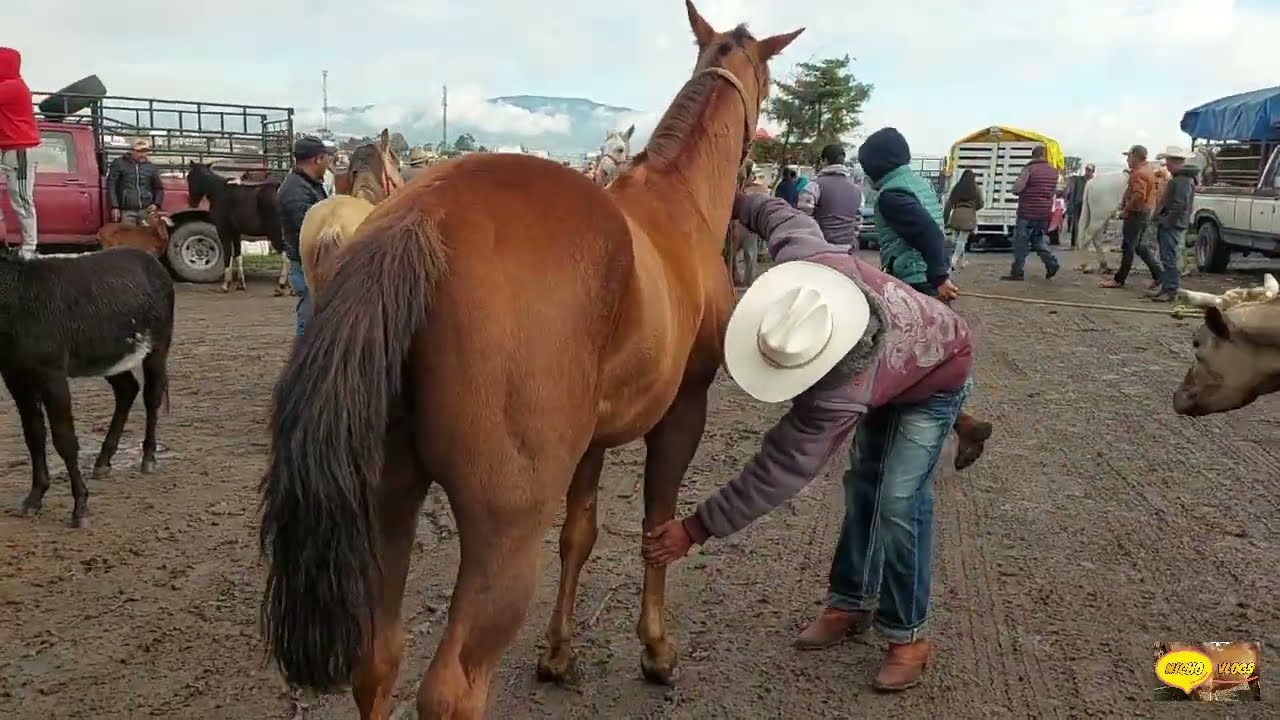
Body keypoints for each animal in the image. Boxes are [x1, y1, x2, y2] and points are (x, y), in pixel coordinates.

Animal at [0, 247, 173, 528]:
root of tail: (150, 259)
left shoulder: (52, 376)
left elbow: (65, 440)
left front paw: (80, 508)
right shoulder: (14, 376)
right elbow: (34, 436)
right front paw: (34, 499)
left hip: (157, 348)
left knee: (151, 396)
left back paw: (148, 458)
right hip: (108, 357)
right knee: (127, 390)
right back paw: (103, 462)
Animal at [185, 162, 285, 293]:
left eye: (189, 177)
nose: (192, 203)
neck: (219, 191)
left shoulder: (223, 230)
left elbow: (228, 254)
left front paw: (225, 284)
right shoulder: (236, 232)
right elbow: (238, 255)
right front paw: (241, 284)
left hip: (275, 233)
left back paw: (281, 286)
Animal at [257, 3, 802, 716]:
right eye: (768, 81)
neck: (675, 201)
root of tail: (422, 216)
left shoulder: (590, 441)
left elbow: (581, 534)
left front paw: (558, 652)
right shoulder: (684, 410)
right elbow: (657, 525)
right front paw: (656, 649)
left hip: (386, 498)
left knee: (376, 662)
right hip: (505, 532)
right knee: (452, 688)